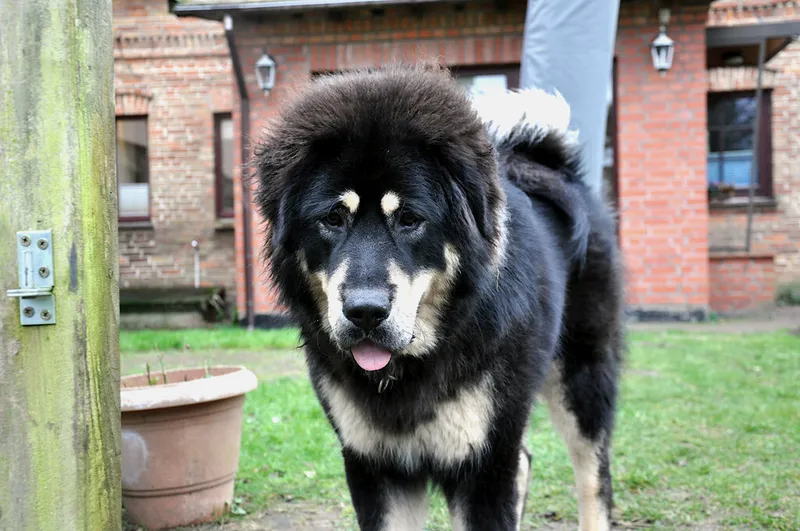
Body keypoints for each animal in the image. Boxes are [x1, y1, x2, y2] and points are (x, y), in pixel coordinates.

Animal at [253, 63, 624, 531]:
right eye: (333, 218)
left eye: (410, 219)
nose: (365, 312)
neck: (410, 368)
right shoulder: (376, 466)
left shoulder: (483, 464)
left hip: (581, 379)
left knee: (595, 477)